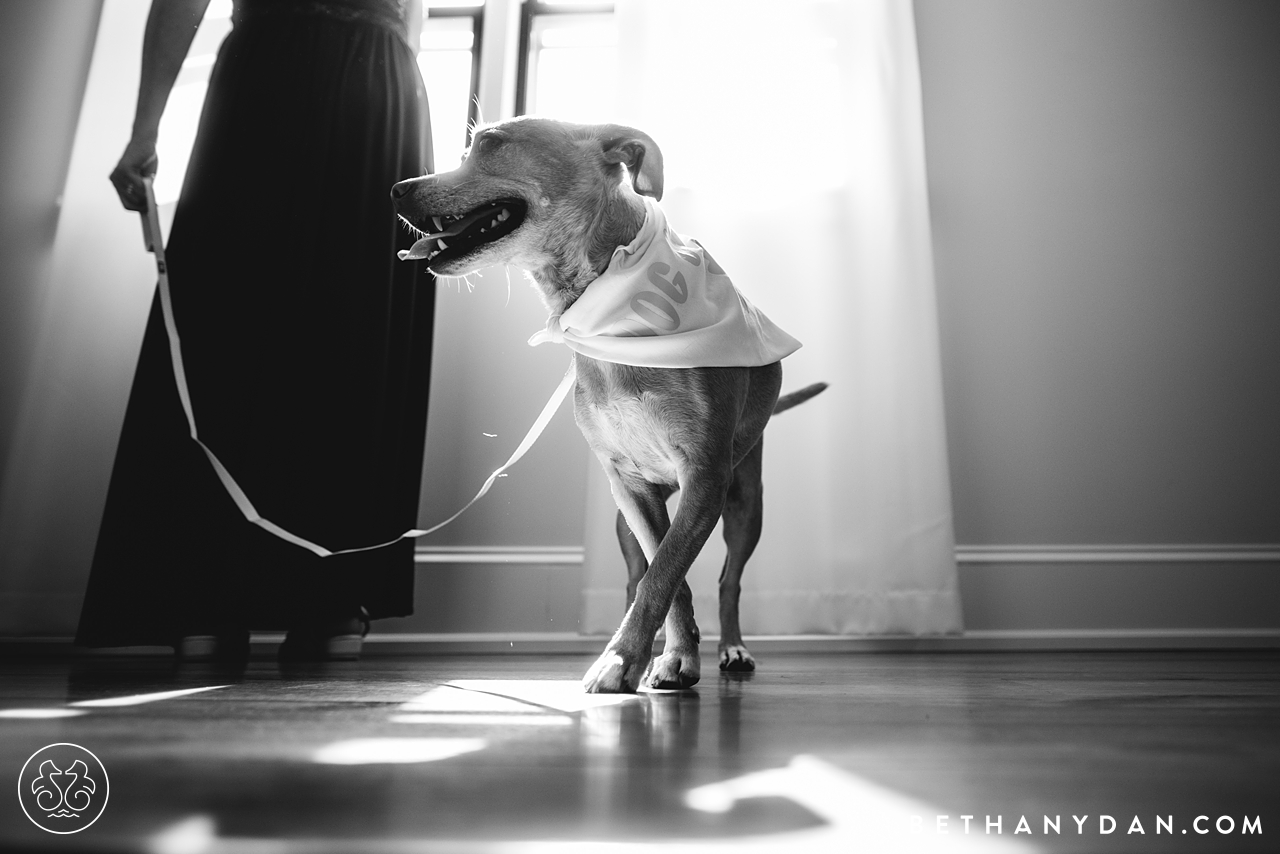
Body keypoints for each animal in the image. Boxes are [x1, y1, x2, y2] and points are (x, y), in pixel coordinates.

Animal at [394, 118, 824, 696]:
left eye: (490, 143)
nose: (397, 189)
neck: (605, 311)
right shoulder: (630, 486)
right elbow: (664, 576)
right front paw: (669, 656)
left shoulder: (704, 477)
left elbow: (667, 573)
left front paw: (624, 660)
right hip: (628, 523)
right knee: (640, 575)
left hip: (745, 502)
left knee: (728, 580)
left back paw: (733, 648)